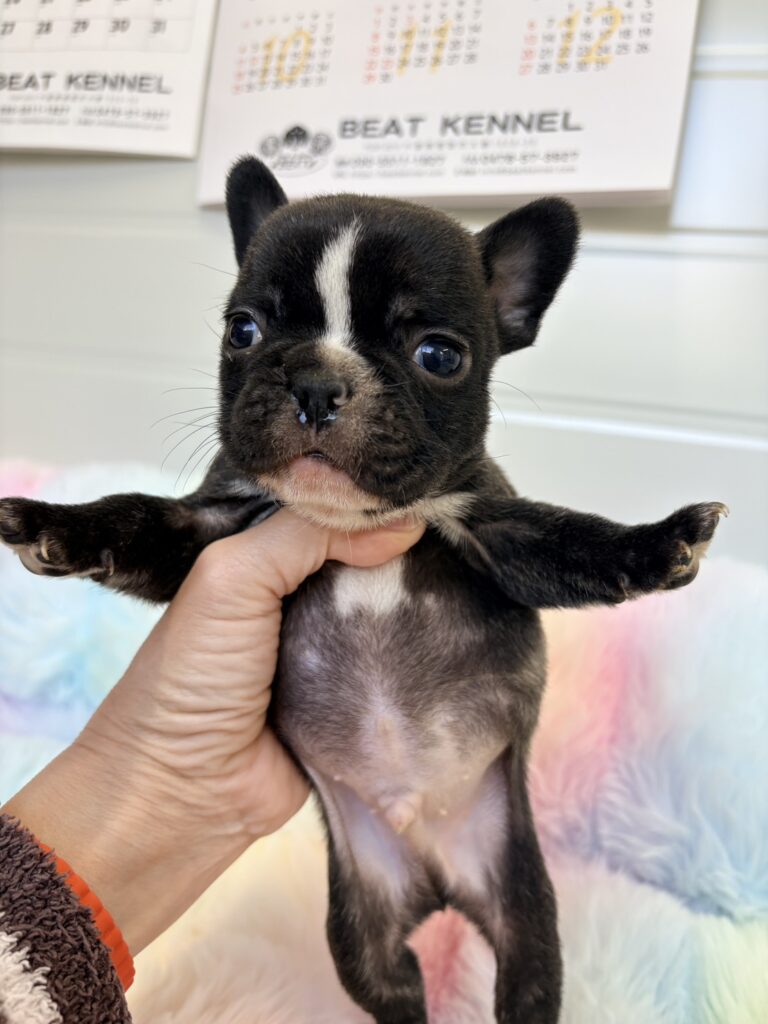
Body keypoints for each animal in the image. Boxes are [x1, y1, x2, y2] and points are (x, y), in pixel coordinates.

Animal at [0, 157, 726, 1023]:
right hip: (359, 925)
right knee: (390, 983)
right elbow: (136, 518)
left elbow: (574, 540)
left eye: (439, 355)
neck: (351, 528)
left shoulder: (494, 531)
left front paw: (661, 542)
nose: (317, 380)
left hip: (523, 906)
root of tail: (433, 875)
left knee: (526, 976)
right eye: (243, 331)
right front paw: (55, 524)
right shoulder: (213, 534)